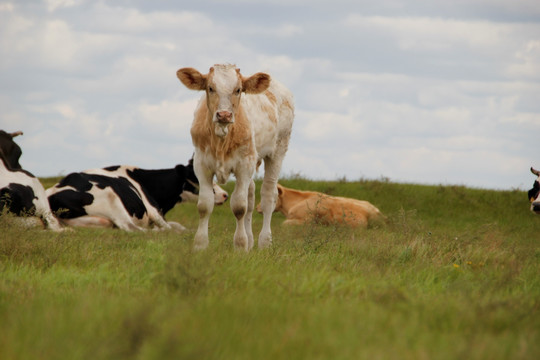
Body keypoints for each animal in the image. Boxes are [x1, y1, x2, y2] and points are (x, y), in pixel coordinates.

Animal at [47, 160, 230, 232]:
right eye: (199, 179)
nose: (225, 195)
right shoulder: (154, 211)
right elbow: (170, 227)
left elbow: (177, 224)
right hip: (111, 196)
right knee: (132, 228)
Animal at [177, 64, 294, 250]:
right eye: (210, 88)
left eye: (238, 90)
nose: (224, 115)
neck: (221, 139)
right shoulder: (202, 165)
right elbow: (205, 205)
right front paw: (200, 245)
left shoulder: (244, 166)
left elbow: (239, 207)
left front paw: (240, 245)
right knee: (251, 195)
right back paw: (251, 240)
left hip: (278, 151)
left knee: (269, 195)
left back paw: (264, 242)